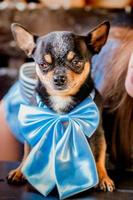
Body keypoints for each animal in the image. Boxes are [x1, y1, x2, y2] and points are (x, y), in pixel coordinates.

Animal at [7, 20, 115, 192]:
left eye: (77, 62)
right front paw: (23, 172)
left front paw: (103, 178)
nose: (59, 78)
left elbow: (98, 157)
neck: (61, 99)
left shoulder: (97, 133)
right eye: (43, 64)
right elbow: (28, 153)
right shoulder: (35, 129)